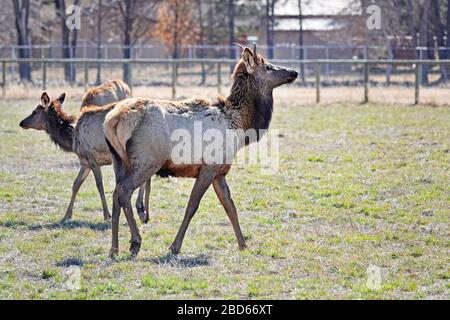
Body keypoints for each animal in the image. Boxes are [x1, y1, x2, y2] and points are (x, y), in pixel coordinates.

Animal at [19, 80, 150, 222]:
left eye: (35, 112)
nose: (21, 123)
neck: (71, 139)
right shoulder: (84, 162)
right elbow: (76, 184)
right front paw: (67, 215)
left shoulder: (92, 159)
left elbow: (99, 185)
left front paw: (107, 215)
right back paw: (142, 210)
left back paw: (141, 209)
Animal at [103, 44, 298, 258]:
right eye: (268, 67)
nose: (294, 72)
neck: (239, 126)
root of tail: (112, 121)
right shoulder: (208, 167)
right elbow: (192, 206)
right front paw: (175, 247)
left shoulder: (220, 172)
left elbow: (230, 207)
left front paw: (243, 245)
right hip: (147, 160)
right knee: (124, 190)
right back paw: (135, 242)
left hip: (119, 160)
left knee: (116, 192)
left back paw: (114, 249)